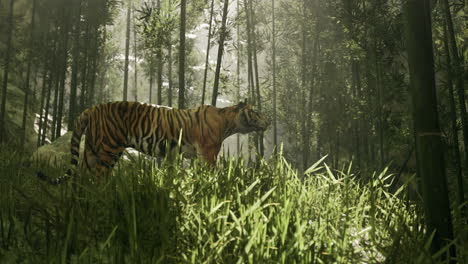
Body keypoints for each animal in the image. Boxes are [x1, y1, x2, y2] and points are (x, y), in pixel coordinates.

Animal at [37, 100, 270, 185]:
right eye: (256, 112)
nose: (267, 121)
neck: (228, 123)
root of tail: (93, 108)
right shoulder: (208, 153)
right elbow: (212, 173)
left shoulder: (191, 156)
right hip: (108, 150)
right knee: (98, 178)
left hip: (92, 150)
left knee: (81, 177)